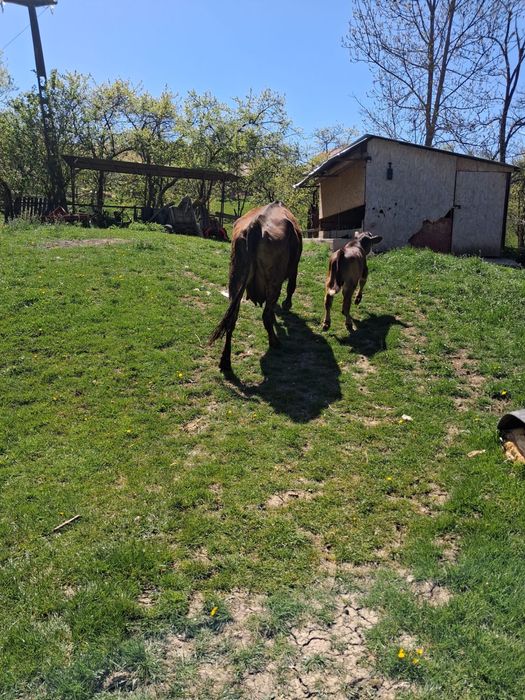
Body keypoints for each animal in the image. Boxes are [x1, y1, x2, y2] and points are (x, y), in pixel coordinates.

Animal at [209, 202, 302, 372]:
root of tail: (256, 225)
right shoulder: (294, 266)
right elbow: (291, 286)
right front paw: (287, 304)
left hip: (235, 278)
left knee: (232, 320)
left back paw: (225, 361)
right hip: (274, 281)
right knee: (266, 315)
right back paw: (274, 342)